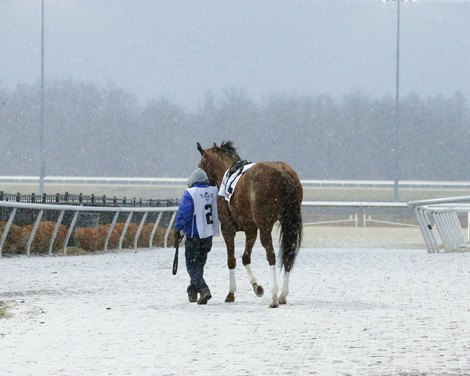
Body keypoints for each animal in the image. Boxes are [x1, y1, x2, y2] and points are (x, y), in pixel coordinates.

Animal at [196, 141, 302, 308]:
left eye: (200, 164)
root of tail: (281, 172)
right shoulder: (251, 230)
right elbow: (245, 257)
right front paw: (257, 287)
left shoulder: (227, 229)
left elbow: (231, 260)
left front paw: (231, 293)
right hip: (288, 222)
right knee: (288, 255)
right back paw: (282, 295)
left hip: (266, 225)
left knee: (271, 255)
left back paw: (274, 297)